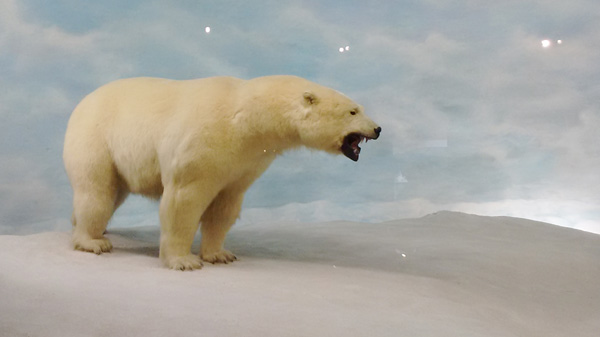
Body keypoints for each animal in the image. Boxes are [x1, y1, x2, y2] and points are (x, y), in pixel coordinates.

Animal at [63, 75, 382, 270]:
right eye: (353, 111)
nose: (378, 128)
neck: (246, 117)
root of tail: (81, 103)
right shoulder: (201, 144)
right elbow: (183, 201)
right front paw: (183, 261)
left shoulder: (245, 161)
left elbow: (225, 206)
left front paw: (219, 254)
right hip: (96, 138)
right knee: (96, 191)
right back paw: (92, 241)